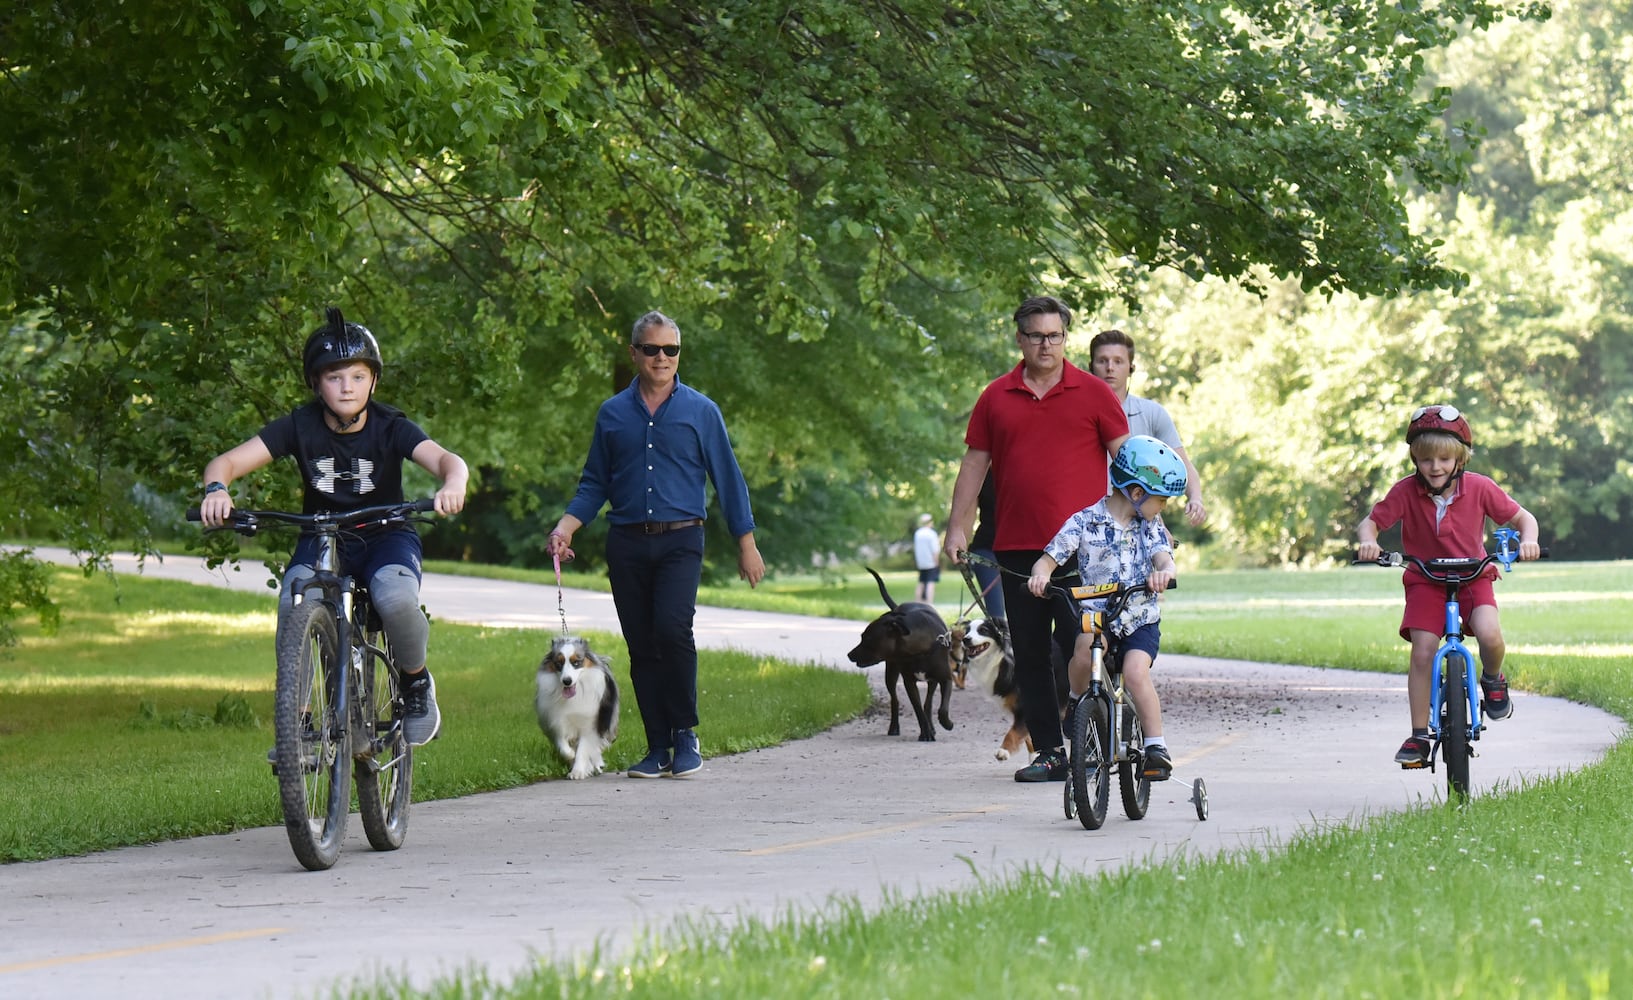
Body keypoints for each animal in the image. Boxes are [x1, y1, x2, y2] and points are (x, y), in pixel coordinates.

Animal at [842, 565, 953, 738]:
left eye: (867, 639)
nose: (849, 655)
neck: (919, 650)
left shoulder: (945, 678)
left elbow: (941, 707)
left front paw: (946, 723)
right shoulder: (909, 682)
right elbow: (918, 709)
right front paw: (925, 733)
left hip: (931, 680)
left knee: (928, 702)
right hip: (891, 672)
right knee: (895, 700)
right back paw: (894, 727)